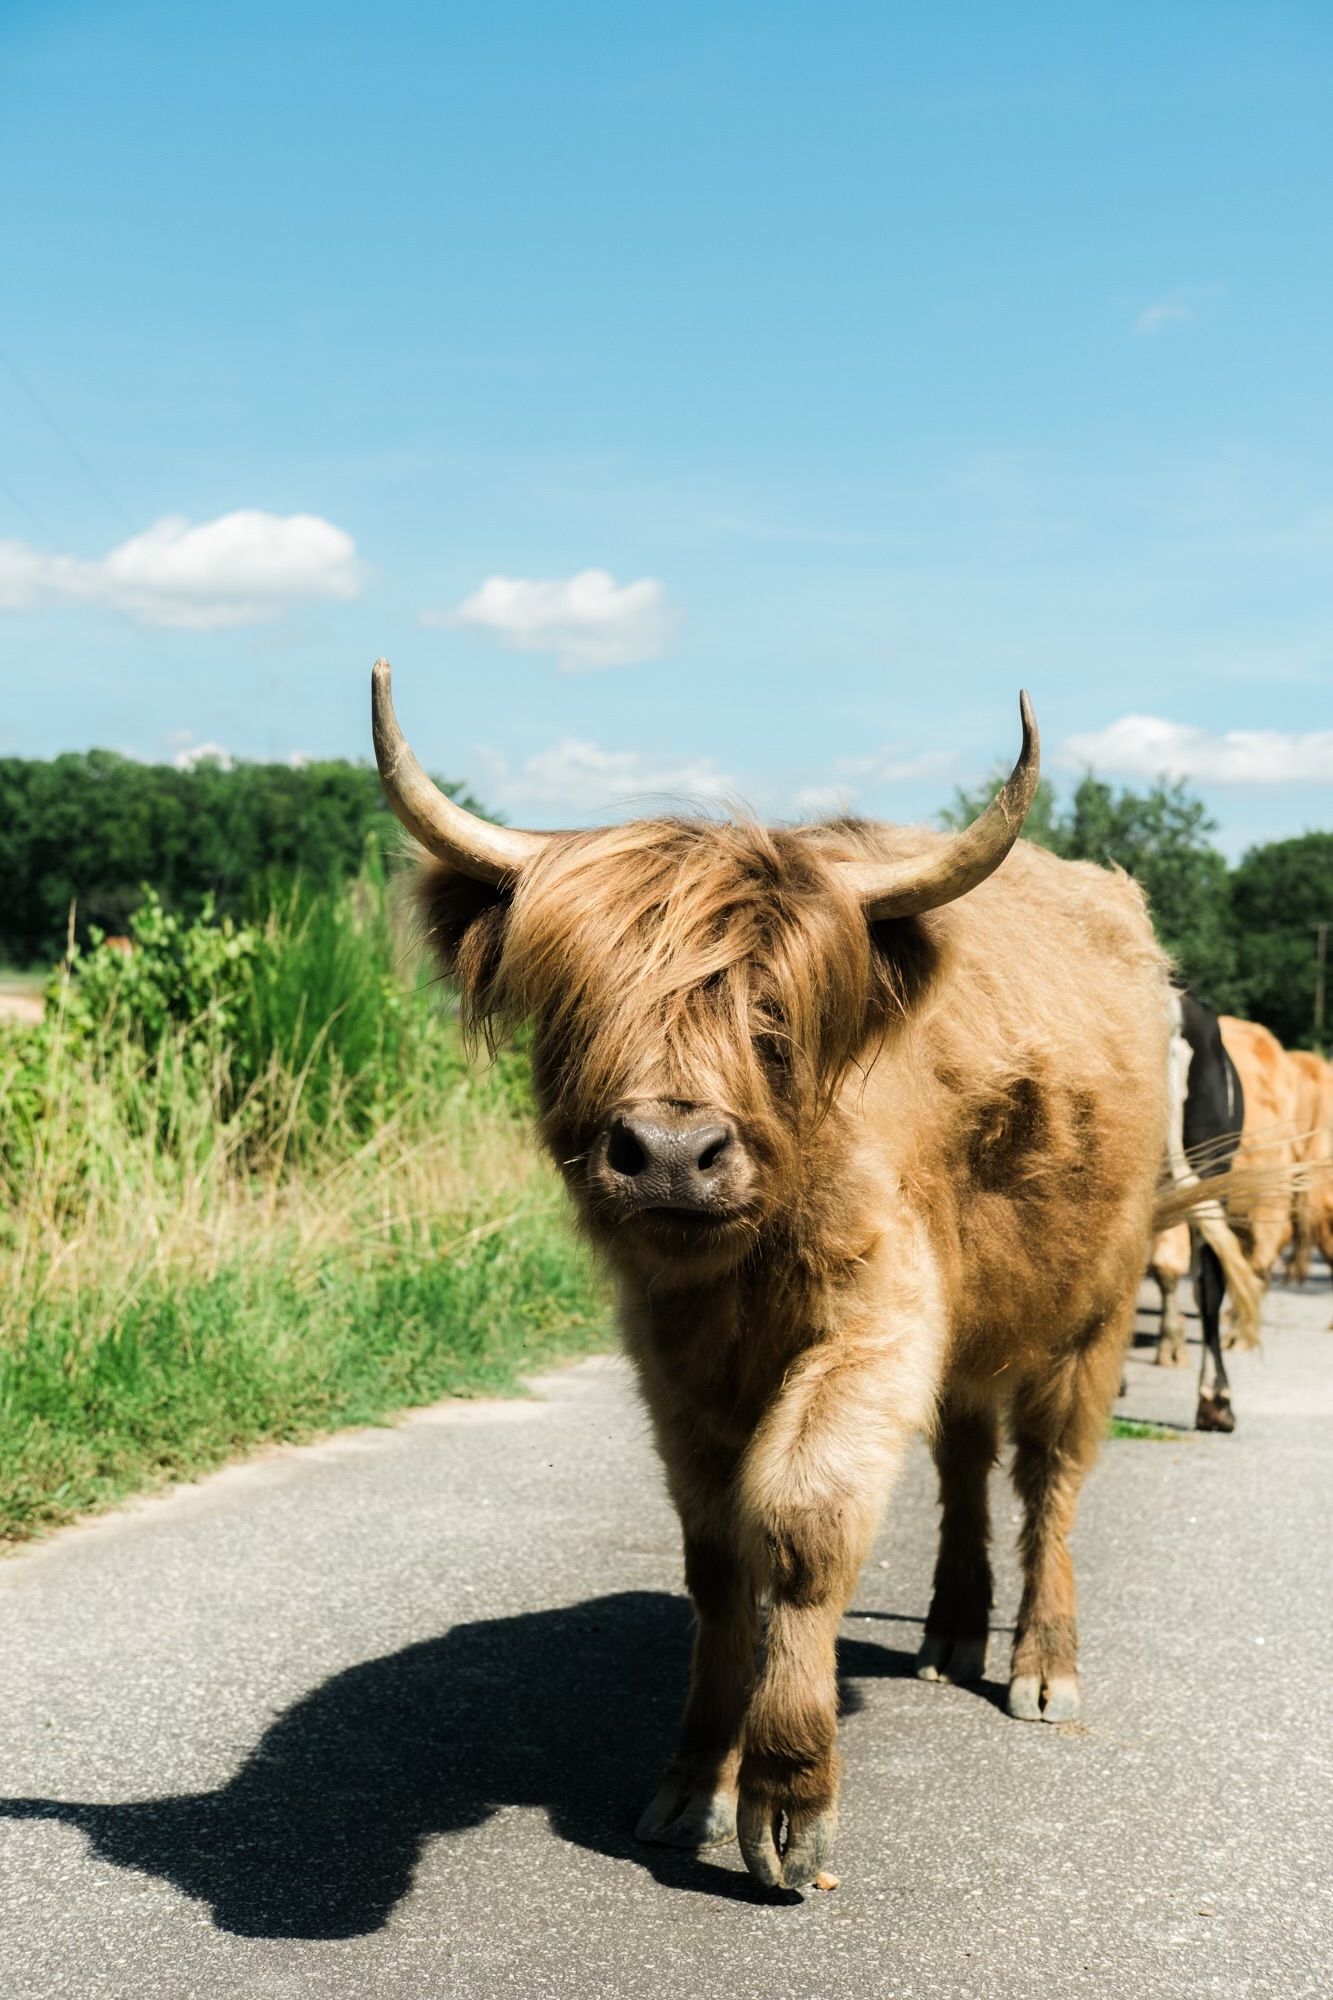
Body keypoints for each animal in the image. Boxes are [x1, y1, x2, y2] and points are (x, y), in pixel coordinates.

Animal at [373, 662, 1174, 1891]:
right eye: (582, 1006)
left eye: (771, 1015)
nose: (668, 1152)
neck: (735, 1277)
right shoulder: (671, 1359)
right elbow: (715, 1560)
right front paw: (692, 1780)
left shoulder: (875, 1320)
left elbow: (803, 1523)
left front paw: (789, 1797)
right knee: (962, 1457)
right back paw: (949, 1628)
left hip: (1089, 1307)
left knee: (1049, 1474)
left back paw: (1041, 1663)